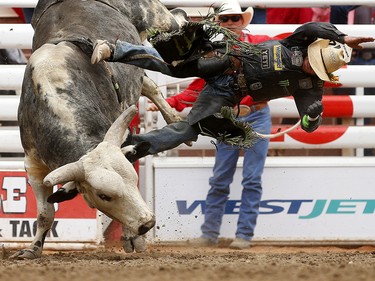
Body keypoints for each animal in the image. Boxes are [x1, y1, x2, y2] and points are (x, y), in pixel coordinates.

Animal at [11, 0, 187, 258]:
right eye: (105, 196)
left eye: (134, 179)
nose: (147, 223)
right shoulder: (33, 165)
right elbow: (45, 213)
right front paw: (32, 249)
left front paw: (132, 238)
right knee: (147, 82)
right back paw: (173, 117)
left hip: (155, 16)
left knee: (175, 21)